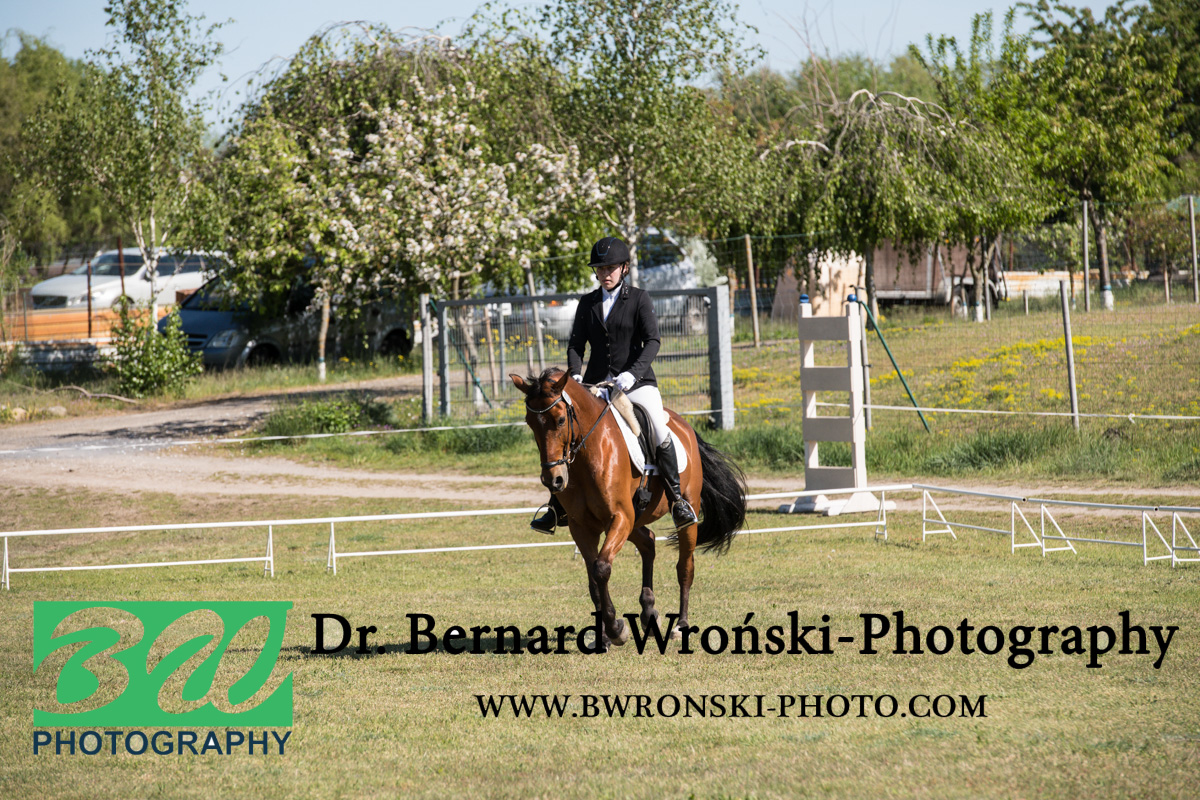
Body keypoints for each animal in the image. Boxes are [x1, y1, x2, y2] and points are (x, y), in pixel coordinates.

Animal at [510, 367, 747, 652]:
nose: (553, 480)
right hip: (634, 520)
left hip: (681, 513)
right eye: (530, 423)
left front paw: (616, 630)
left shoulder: (620, 517)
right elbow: (593, 580)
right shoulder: (582, 526)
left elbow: (601, 568)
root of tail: (684, 425)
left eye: (559, 420)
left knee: (685, 567)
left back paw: (681, 625)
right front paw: (604, 636)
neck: (590, 453)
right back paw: (649, 613)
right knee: (649, 542)